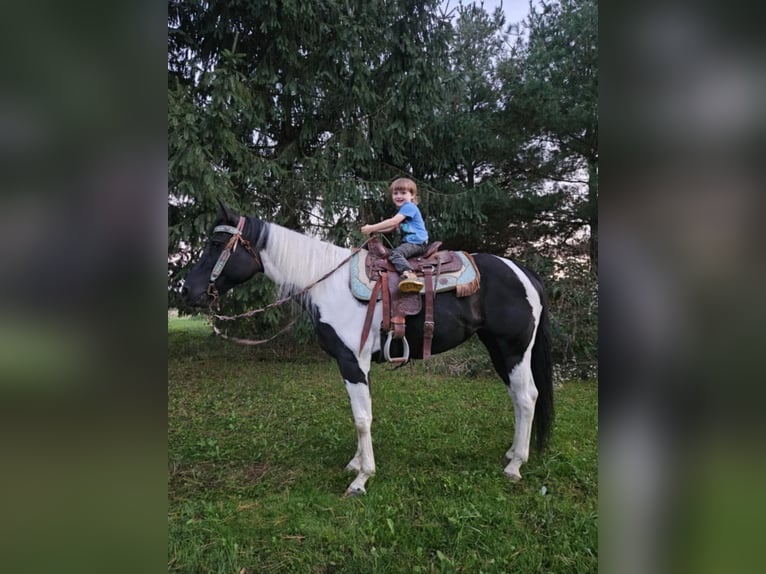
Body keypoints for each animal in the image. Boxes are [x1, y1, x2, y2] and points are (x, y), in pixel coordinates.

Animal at [184, 201, 560, 496]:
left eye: (216, 242)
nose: (188, 291)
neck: (328, 284)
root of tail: (525, 272)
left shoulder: (352, 361)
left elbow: (362, 418)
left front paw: (362, 479)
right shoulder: (353, 364)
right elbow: (358, 414)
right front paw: (356, 464)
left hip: (514, 349)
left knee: (527, 396)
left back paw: (515, 466)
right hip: (498, 349)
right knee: (517, 397)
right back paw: (511, 454)